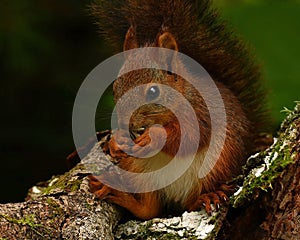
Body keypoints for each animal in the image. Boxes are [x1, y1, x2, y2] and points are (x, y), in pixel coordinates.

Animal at [87, 0, 270, 220]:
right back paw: (115, 190)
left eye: (153, 91)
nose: (125, 124)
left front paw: (152, 137)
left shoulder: (201, 114)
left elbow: (188, 138)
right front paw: (117, 141)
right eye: (115, 88)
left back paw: (207, 196)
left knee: (189, 204)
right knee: (149, 209)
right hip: (141, 172)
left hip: (217, 164)